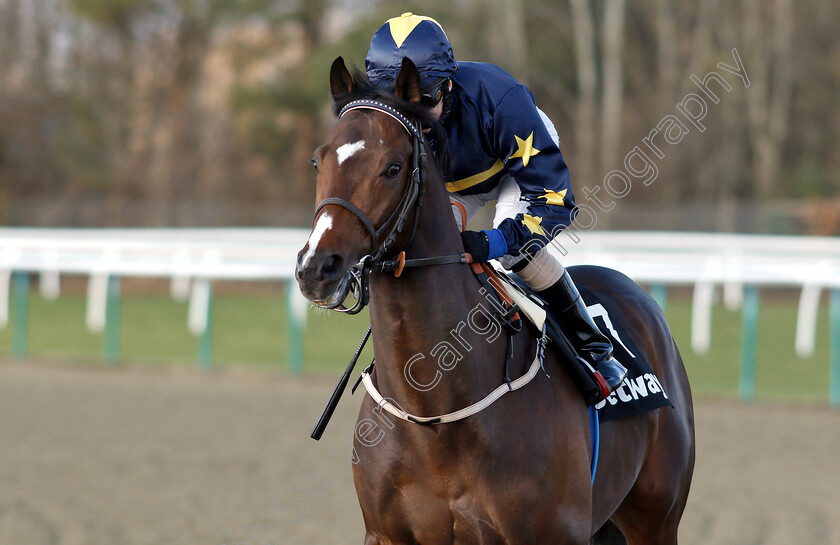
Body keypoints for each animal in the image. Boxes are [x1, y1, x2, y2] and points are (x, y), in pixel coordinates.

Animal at [296, 57, 696, 540]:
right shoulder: (385, 533)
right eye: (318, 161)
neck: (435, 416)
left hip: (657, 519)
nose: (318, 267)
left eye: (392, 167)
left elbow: (547, 203)